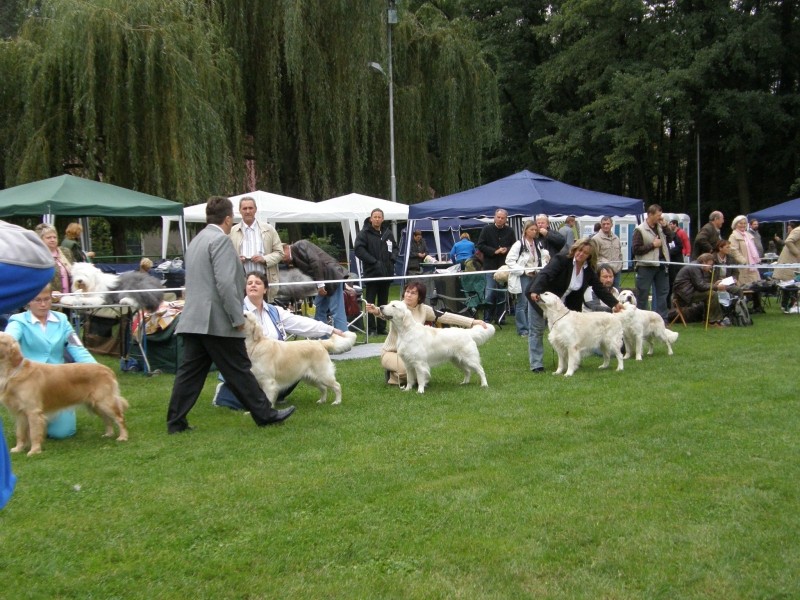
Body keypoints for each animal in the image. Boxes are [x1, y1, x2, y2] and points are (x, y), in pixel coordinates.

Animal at [0, 332, 128, 454]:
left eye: (1, 340)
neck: (13, 372)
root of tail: (107, 369)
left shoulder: (33, 411)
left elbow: (34, 433)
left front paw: (34, 451)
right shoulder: (20, 413)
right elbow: (20, 433)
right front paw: (18, 449)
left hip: (105, 402)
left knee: (119, 418)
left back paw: (123, 437)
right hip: (95, 404)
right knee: (107, 419)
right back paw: (109, 434)